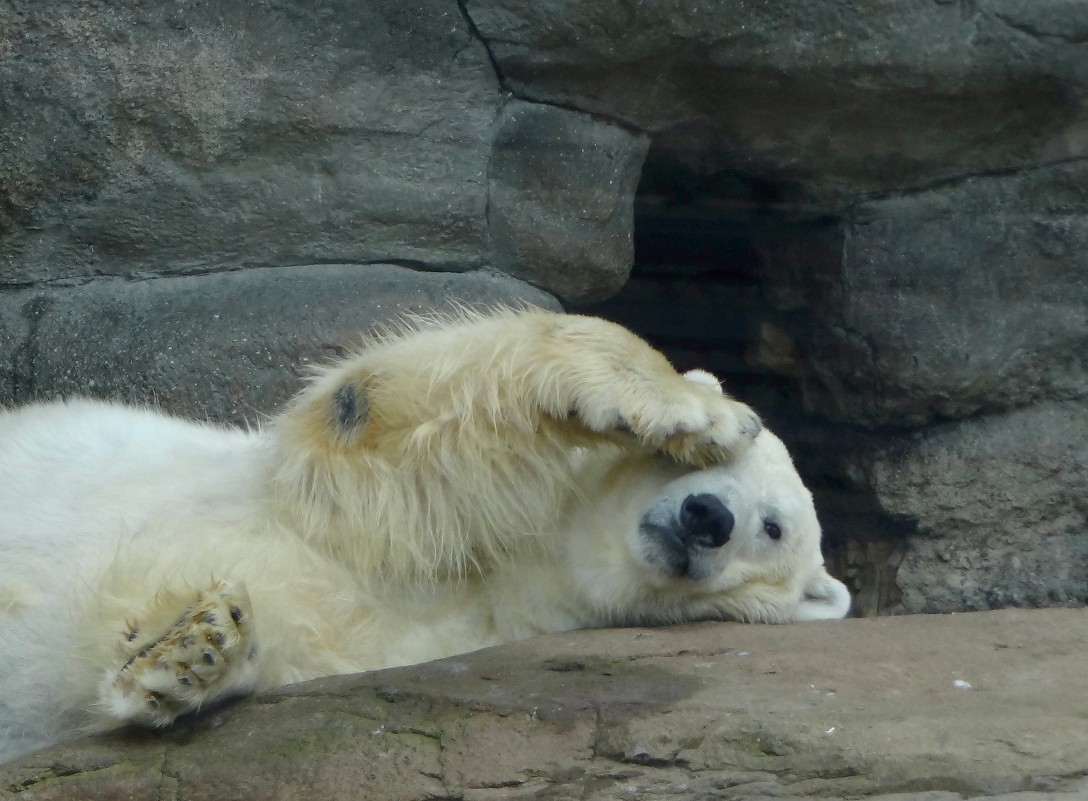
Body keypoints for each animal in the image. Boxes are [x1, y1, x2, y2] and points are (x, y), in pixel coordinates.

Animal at [0, 309, 848, 761]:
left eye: (773, 528)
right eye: (729, 468)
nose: (710, 516)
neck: (517, 575)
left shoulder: (428, 630)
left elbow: (294, 642)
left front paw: (193, 648)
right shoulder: (355, 507)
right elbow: (378, 425)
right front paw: (693, 409)